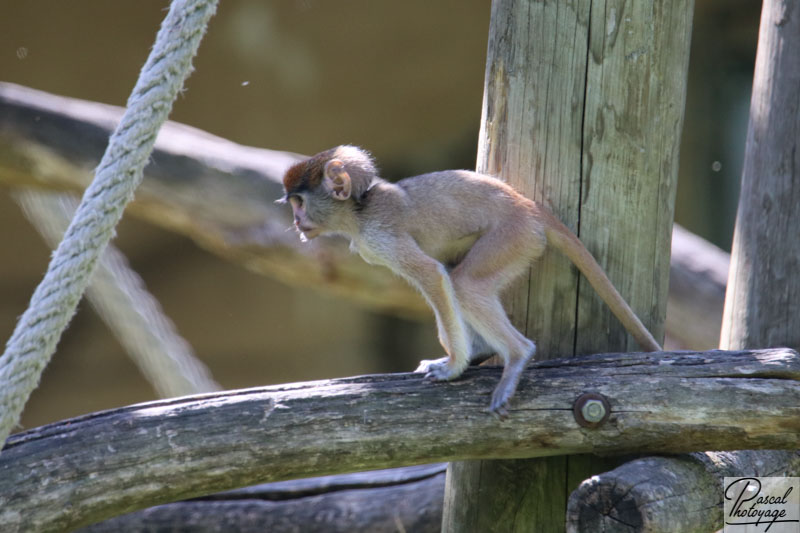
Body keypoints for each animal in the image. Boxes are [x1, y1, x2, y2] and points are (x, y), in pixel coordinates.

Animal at [278, 144, 660, 416]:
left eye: (300, 203)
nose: (296, 222)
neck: (360, 208)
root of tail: (529, 208)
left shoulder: (380, 235)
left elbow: (432, 274)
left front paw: (454, 366)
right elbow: (438, 276)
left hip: (514, 238)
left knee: (465, 284)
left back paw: (516, 354)